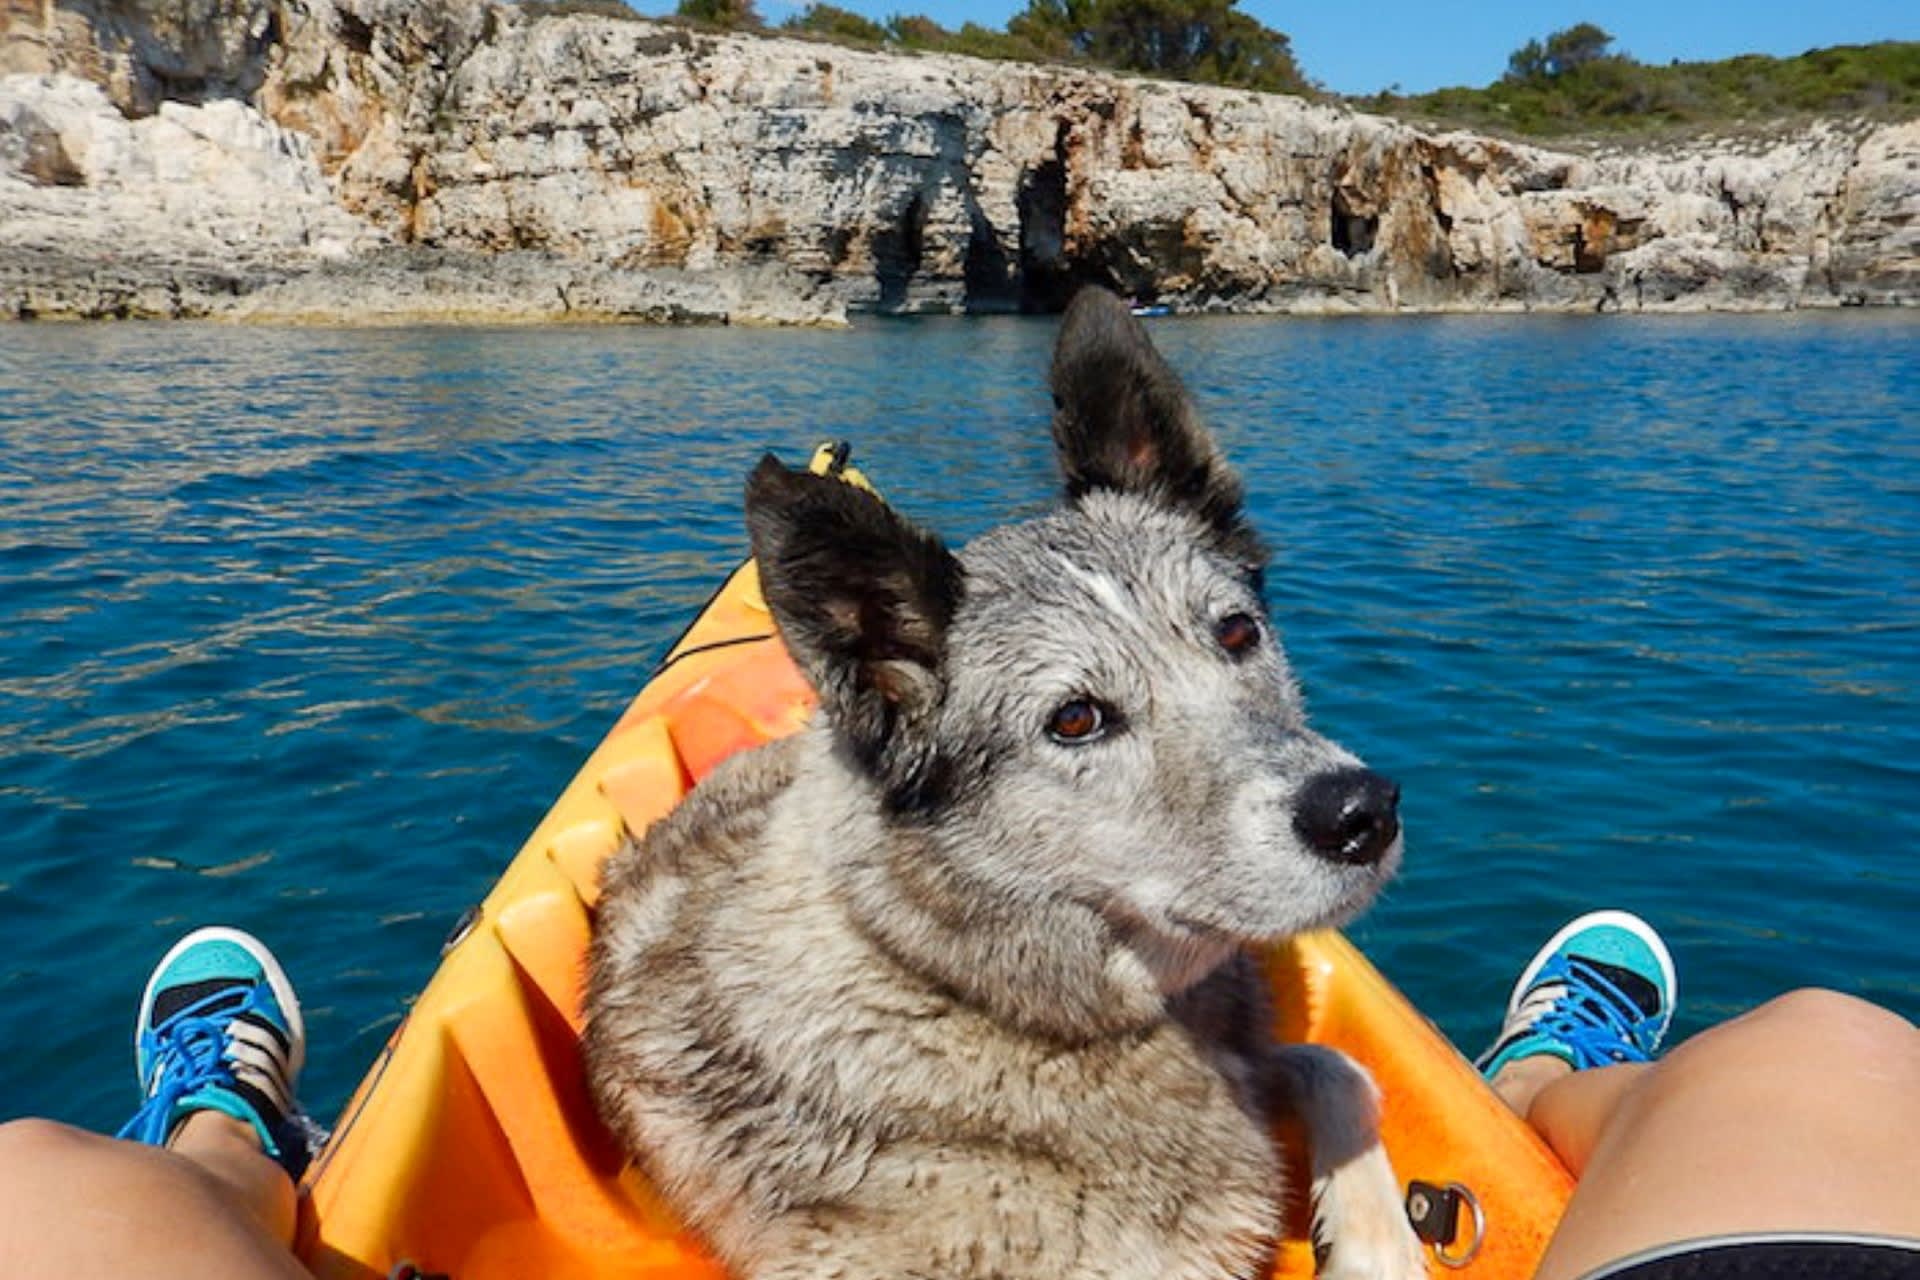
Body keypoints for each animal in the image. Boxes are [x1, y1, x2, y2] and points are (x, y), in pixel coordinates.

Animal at [585, 286, 1427, 1280]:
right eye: (1076, 719)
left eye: (1235, 632)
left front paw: (1378, 1240)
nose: (1361, 813)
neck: (957, 982)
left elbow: (1339, 1065)